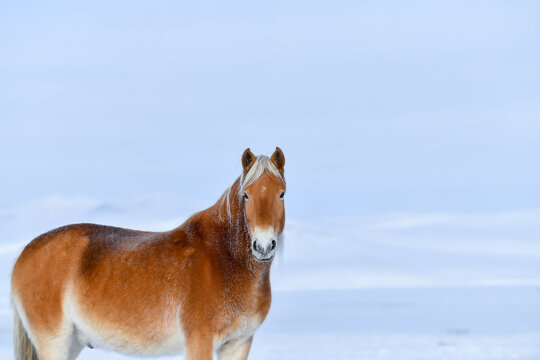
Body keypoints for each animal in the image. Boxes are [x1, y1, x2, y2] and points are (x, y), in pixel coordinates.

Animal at [10, 147, 286, 360]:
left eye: (281, 193)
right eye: (246, 195)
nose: (263, 246)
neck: (224, 259)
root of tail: (27, 252)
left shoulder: (238, 343)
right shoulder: (200, 341)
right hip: (55, 342)